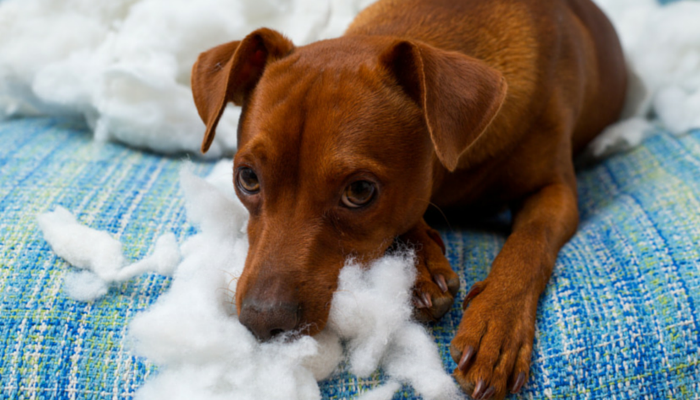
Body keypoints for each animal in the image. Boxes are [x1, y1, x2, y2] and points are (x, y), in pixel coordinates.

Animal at [190, 0, 624, 398]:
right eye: (247, 178)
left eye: (360, 192)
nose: (262, 322)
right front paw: (420, 267)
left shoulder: (556, 191)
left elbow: (529, 244)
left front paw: (496, 324)